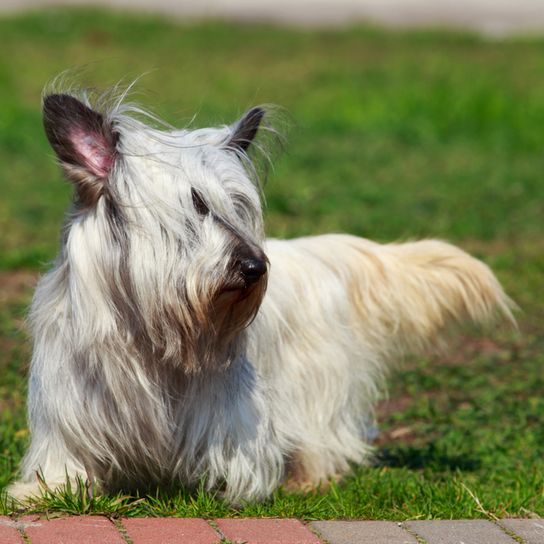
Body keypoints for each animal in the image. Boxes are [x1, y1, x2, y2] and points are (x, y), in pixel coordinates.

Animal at [7, 88, 516, 502]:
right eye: (196, 206)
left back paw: (307, 477)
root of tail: (314, 254)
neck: (149, 334)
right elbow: (67, 458)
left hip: (314, 385)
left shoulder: (228, 410)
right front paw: (46, 490)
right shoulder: (71, 403)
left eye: (238, 206)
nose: (255, 266)